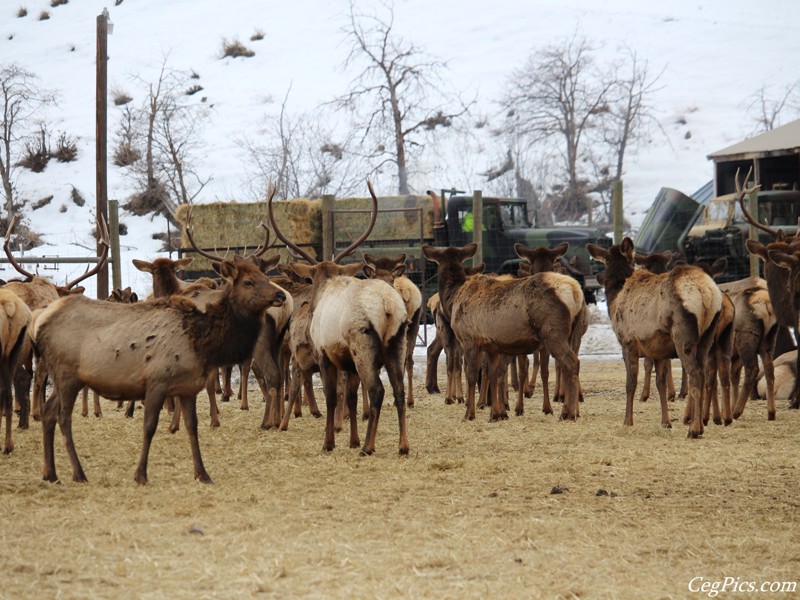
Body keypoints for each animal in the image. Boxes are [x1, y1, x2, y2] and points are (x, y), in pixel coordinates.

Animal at [32, 255, 288, 486]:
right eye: (248, 282)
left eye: (266, 276)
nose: (280, 295)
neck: (202, 341)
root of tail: (40, 325)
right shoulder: (157, 381)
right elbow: (149, 427)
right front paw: (141, 475)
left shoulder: (187, 388)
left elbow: (192, 427)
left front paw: (202, 474)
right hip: (66, 374)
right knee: (63, 417)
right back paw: (78, 473)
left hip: (65, 377)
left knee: (49, 411)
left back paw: (50, 473)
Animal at [270, 183, 410, 454]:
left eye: (310, 278)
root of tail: (388, 304)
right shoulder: (348, 364)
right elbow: (352, 398)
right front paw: (352, 440)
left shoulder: (324, 354)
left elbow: (333, 396)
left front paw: (330, 442)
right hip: (397, 344)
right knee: (399, 390)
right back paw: (403, 445)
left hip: (362, 346)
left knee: (377, 389)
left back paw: (369, 446)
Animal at [422, 243, 584, 422]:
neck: (453, 299)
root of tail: (576, 292)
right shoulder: (492, 347)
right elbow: (494, 375)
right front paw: (496, 413)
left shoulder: (470, 339)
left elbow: (472, 376)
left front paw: (470, 413)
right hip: (569, 333)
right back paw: (572, 410)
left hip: (553, 333)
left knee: (571, 362)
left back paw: (567, 413)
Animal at [584, 237, 720, 438]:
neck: (614, 300)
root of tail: (705, 292)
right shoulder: (659, 351)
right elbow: (660, 383)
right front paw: (666, 422)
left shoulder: (627, 343)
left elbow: (631, 382)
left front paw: (627, 421)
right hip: (707, 336)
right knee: (704, 373)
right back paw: (699, 423)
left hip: (683, 335)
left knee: (695, 374)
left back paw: (694, 429)